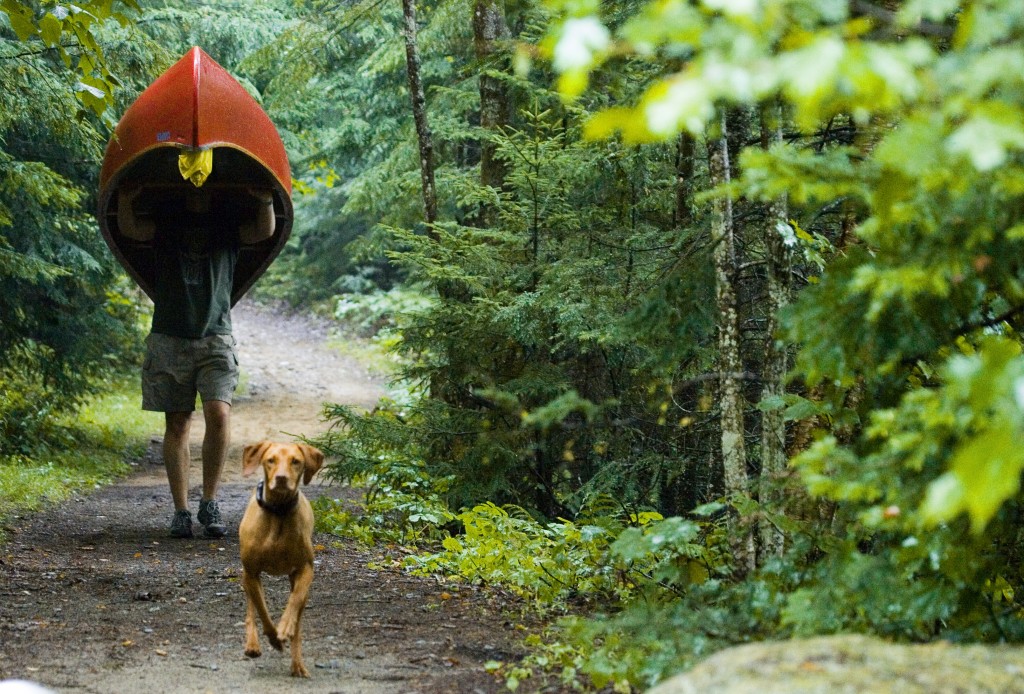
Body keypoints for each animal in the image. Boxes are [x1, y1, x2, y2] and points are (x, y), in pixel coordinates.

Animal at [237, 442, 321, 675]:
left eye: (296, 461)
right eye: (270, 460)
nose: (281, 478)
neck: (278, 513)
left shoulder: (305, 569)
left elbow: (295, 600)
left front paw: (284, 628)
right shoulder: (252, 572)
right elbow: (262, 610)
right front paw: (273, 638)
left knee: (298, 616)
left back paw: (297, 663)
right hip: (246, 576)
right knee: (251, 607)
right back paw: (253, 645)